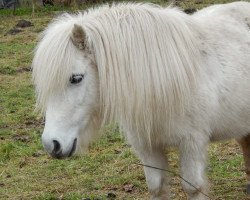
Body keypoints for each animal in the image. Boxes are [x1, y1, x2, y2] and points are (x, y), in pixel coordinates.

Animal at [32, 1, 250, 200]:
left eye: (76, 78)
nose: (52, 144)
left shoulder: (192, 143)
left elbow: (192, 188)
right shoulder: (147, 146)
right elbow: (156, 186)